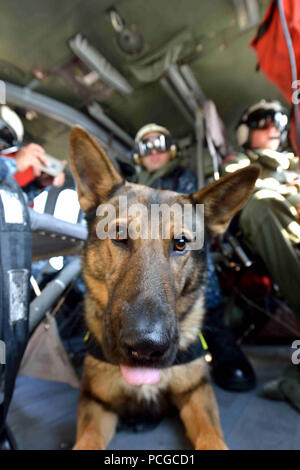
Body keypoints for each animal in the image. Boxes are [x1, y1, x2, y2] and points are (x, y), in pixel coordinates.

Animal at [69, 126, 258, 450]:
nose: (146, 346)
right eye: (119, 235)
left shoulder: (197, 392)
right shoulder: (95, 402)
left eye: (180, 243)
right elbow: (87, 440)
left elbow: (211, 437)